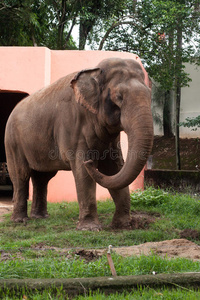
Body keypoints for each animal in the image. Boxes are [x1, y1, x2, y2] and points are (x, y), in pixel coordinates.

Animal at [4, 57, 154, 231]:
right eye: (119, 97)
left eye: (150, 95)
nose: (91, 162)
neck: (94, 71)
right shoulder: (73, 125)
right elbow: (82, 170)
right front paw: (90, 228)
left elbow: (113, 169)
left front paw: (122, 225)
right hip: (13, 142)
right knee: (21, 175)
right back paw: (20, 220)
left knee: (42, 177)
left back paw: (40, 217)